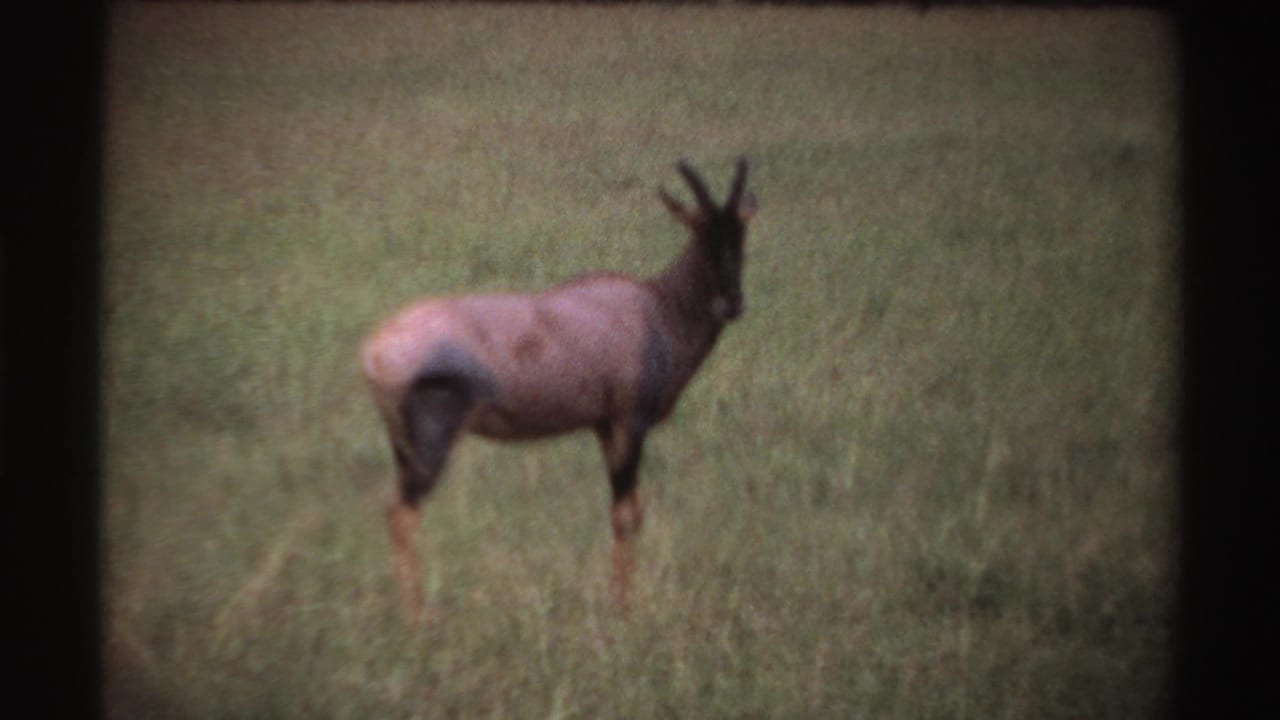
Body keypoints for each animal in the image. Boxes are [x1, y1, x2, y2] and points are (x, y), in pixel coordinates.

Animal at [361, 158, 756, 624]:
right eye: (701, 233)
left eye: (740, 235)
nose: (732, 303)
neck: (653, 308)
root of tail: (376, 350)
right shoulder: (630, 422)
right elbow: (625, 514)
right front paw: (622, 610)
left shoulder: (605, 426)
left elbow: (627, 511)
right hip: (432, 440)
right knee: (401, 513)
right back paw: (417, 620)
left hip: (401, 444)